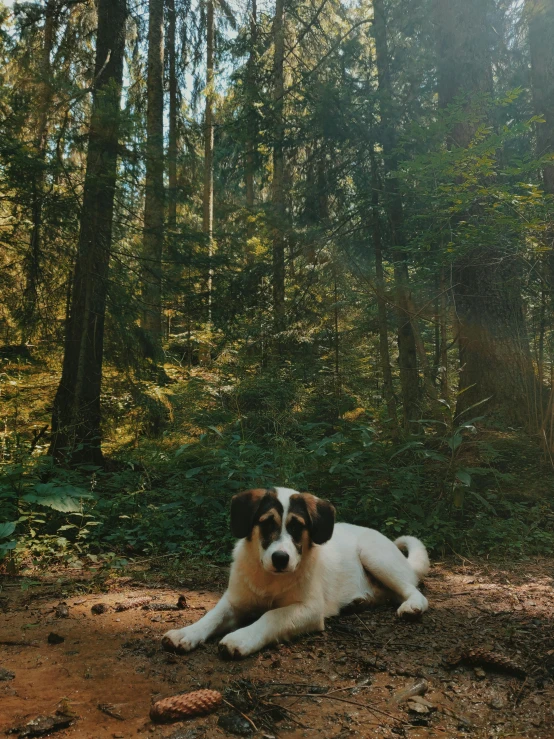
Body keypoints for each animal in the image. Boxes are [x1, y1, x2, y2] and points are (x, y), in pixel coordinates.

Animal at [160, 486, 426, 660]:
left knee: (413, 590)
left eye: (298, 527)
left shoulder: (310, 609)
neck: (271, 580)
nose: (280, 558)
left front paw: (241, 637)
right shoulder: (235, 600)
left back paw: (412, 606)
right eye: (267, 523)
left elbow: (272, 616)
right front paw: (186, 633)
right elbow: (212, 616)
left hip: (374, 555)